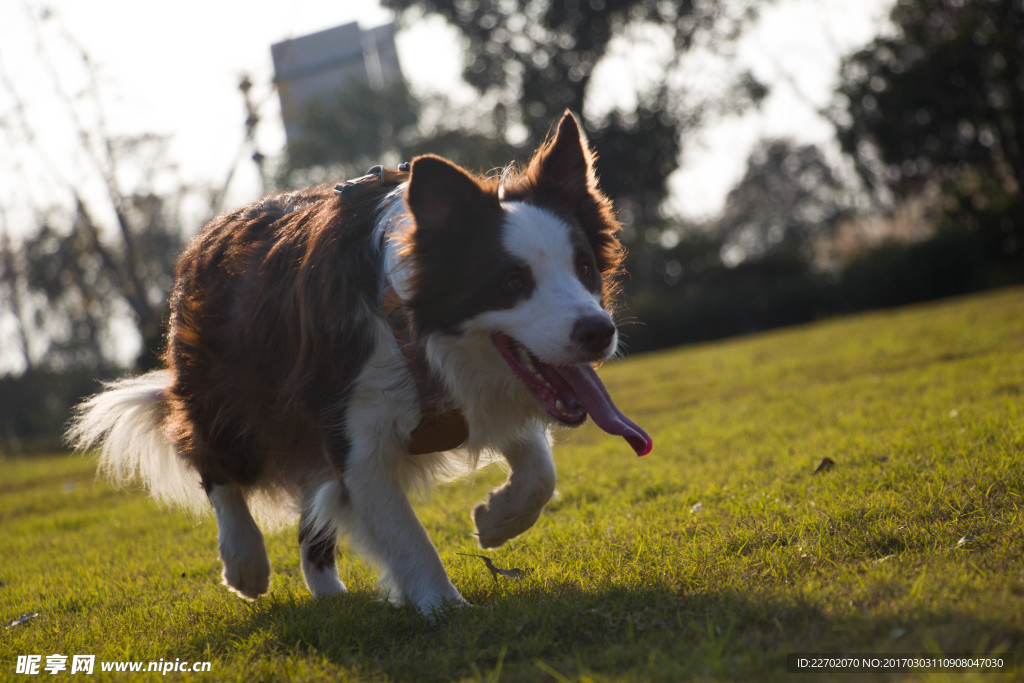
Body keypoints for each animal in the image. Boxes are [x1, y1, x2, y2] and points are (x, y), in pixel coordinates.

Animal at [68, 109, 651, 610]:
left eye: (584, 267)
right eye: (512, 281)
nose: (599, 333)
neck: (413, 331)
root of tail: (209, 234)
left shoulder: (481, 391)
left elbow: (540, 471)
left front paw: (495, 519)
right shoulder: (351, 430)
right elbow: (406, 535)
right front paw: (445, 607)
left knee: (311, 516)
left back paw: (327, 593)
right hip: (233, 395)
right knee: (215, 462)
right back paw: (245, 563)